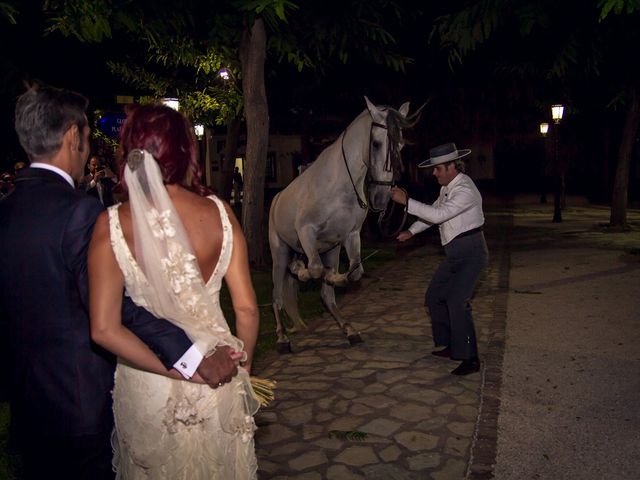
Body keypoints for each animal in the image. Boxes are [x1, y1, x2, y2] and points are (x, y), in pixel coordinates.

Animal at [268, 96, 418, 352]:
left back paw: (349, 330)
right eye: (376, 144)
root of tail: (277, 198)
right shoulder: (306, 233)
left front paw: (334, 277)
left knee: (327, 297)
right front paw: (306, 272)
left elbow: (354, 272)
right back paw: (282, 338)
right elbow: (314, 269)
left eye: (400, 147)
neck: (337, 186)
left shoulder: (350, 236)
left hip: (330, 250)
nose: (381, 199)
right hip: (280, 252)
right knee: (277, 295)